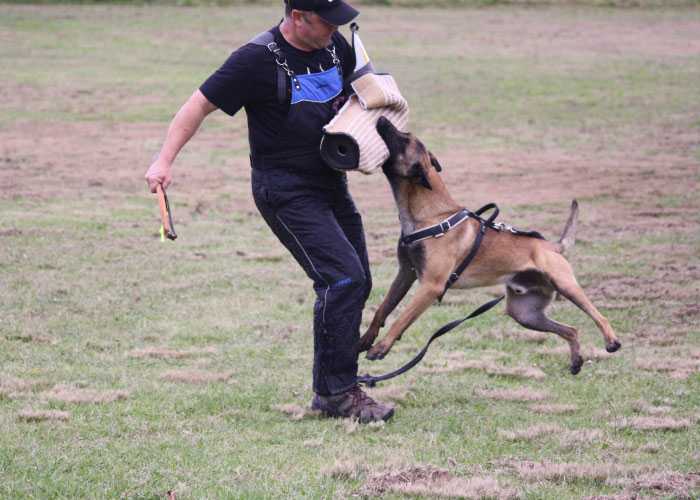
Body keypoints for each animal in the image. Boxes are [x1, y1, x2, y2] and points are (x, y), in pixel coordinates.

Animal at [358, 118, 620, 376]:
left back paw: (611, 341)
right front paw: (366, 338)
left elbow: (401, 318)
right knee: (572, 329)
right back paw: (576, 360)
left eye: (404, 138)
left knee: (599, 316)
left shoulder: (431, 286)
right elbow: (383, 308)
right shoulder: (406, 273)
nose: (381, 119)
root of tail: (551, 246)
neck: (432, 214)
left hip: (565, 285)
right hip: (525, 314)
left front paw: (381, 347)